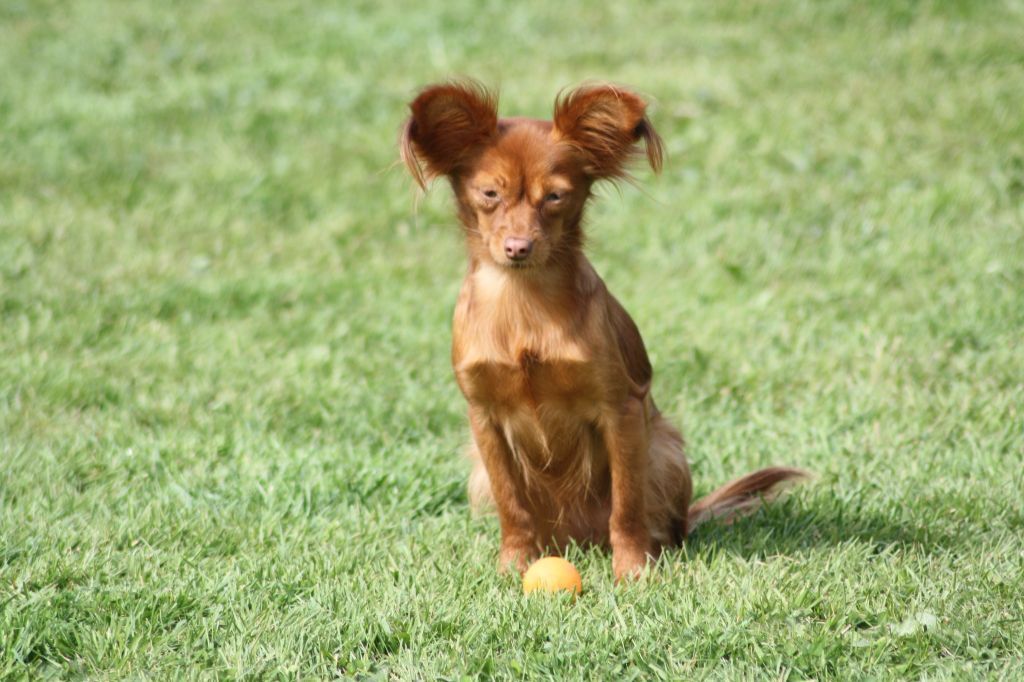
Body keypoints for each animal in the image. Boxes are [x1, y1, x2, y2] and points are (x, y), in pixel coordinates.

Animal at [399, 80, 806, 577]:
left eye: (554, 197)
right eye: (490, 193)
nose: (518, 246)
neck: (523, 303)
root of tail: (578, 540)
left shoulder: (621, 410)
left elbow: (626, 504)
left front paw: (632, 570)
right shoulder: (484, 420)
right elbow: (512, 505)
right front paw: (514, 565)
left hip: (665, 450)